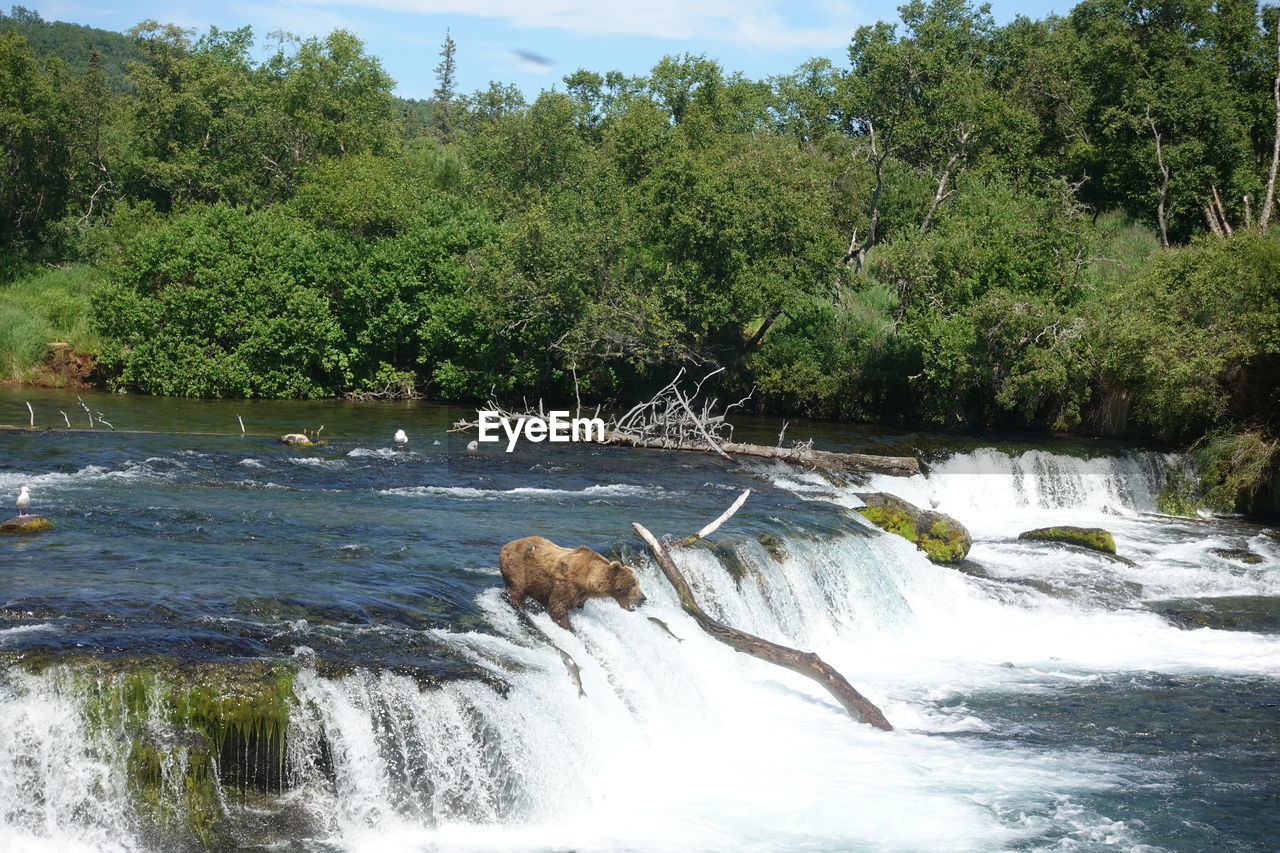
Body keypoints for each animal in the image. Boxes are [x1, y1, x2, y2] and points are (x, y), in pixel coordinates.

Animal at [496, 535, 645, 627]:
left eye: (638, 583)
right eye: (633, 584)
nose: (643, 598)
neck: (588, 580)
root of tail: (505, 546)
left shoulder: (581, 595)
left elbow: (576, 605)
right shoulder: (567, 584)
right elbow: (557, 607)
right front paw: (567, 626)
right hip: (518, 568)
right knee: (516, 589)